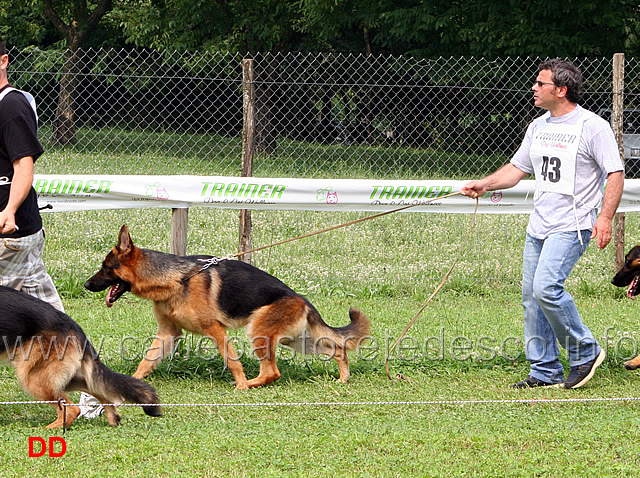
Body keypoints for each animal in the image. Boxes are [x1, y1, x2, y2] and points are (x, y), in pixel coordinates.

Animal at [0, 284, 160, 430]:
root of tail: (75, 328)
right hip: (63, 377)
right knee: (95, 389)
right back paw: (112, 416)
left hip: (33, 378)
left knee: (71, 409)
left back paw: (48, 430)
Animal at [83, 226, 372, 390]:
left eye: (105, 268)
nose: (85, 285)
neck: (176, 279)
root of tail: (301, 298)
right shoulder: (168, 334)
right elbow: (146, 362)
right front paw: (131, 382)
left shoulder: (215, 330)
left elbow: (232, 361)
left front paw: (241, 382)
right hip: (296, 341)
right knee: (337, 350)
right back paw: (343, 379)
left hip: (259, 334)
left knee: (272, 372)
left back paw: (247, 386)